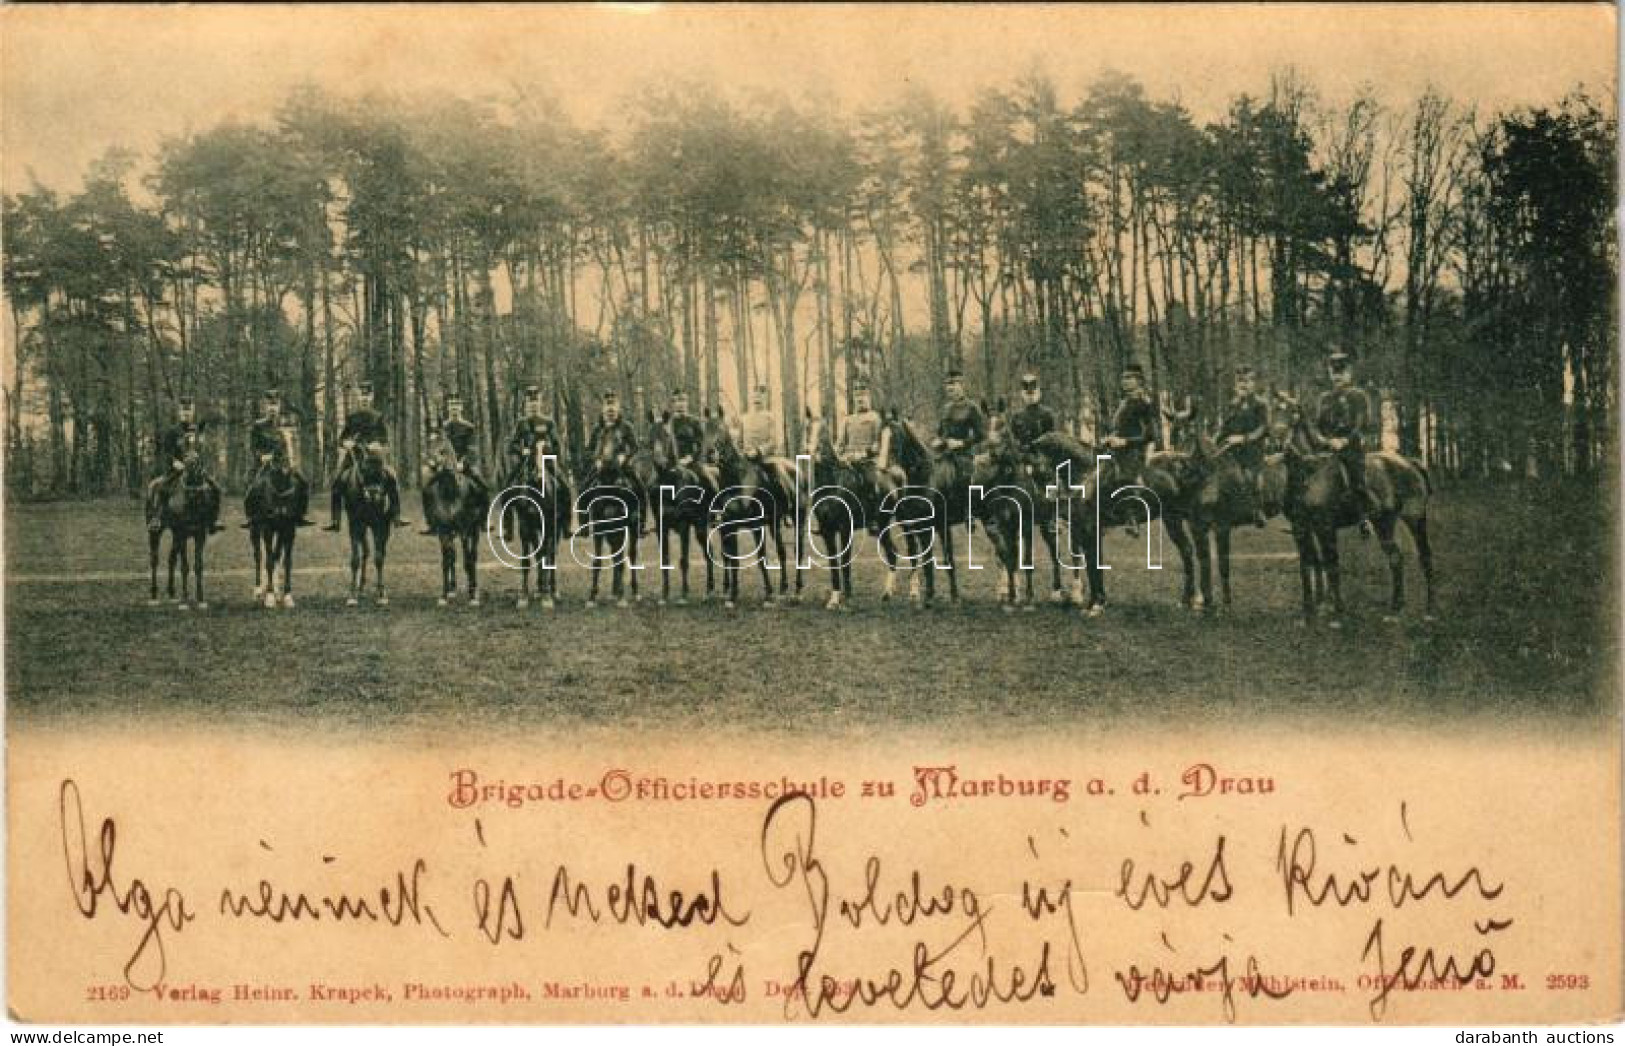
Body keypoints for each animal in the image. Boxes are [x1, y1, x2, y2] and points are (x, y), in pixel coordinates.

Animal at [147, 451, 219, 613]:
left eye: (197, 461)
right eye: (186, 459)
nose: (192, 467)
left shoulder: (200, 535)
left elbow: (198, 566)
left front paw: (200, 600)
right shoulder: (182, 534)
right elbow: (185, 567)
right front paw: (185, 601)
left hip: (175, 536)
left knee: (171, 559)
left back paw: (172, 594)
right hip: (156, 533)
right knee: (154, 560)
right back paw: (154, 597)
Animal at [242, 441, 305, 613]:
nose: (289, 469)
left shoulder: (289, 530)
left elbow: (286, 561)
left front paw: (287, 596)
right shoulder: (267, 529)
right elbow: (269, 561)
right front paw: (269, 597)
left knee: (276, 555)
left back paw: (276, 592)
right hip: (255, 530)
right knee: (258, 556)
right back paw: (258, 591)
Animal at [331, 445, 391, 607]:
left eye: (382, 470)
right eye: (363, 469)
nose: (374, 496)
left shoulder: (379, 525)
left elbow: (379, 558)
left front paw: (381, 595)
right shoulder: (355, 524)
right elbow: (355, 559)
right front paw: (352, 595)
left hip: (383, 528)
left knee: (380, 552)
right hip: (363, 528)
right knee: (365, 551)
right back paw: (361, 588)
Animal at [419, 438, 487, 607]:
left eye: (442, 450)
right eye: (430, 448)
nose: (431, 465)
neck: (449, 493)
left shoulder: (464, 531)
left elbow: (468, 560)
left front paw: (472, 596)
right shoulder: (444, 531)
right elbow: (446, 561)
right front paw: (444, 596)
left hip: (474, 531)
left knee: (472, 556)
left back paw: (473, 587)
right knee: (453, 557)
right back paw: (452, 589)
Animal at [1280, 389, 1436, 620]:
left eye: (1292, 414)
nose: (1280, 444)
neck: (1308, 473)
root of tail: (1410, 462)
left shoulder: (1325, 527)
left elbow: (1331, 565)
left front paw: (1336, 611)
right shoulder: (1302, 528)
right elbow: (1306, 565)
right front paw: (1309, 612)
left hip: (1415, 518)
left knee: (1425, 556)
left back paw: (1430, 609)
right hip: (1384, 522)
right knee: (1395, 558)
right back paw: (1396, 607)